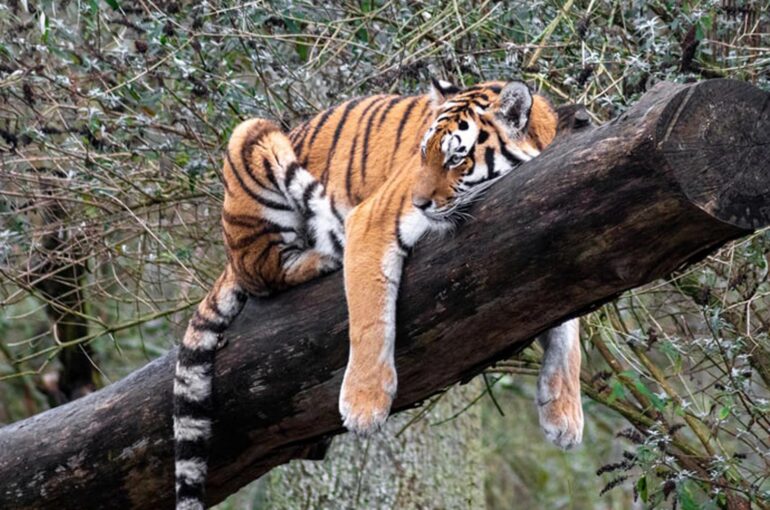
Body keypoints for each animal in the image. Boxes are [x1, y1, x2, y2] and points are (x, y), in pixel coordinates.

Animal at [172, 79, 584, 510]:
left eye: (456, 158)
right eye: (423, 153)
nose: (419, 202)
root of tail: (228, 258)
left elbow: (569, 331)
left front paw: (565, 415)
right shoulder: (371, 221)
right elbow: (370, 320)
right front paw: (364, 406)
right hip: (252, 136)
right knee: (264, 273)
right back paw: (323, 257)